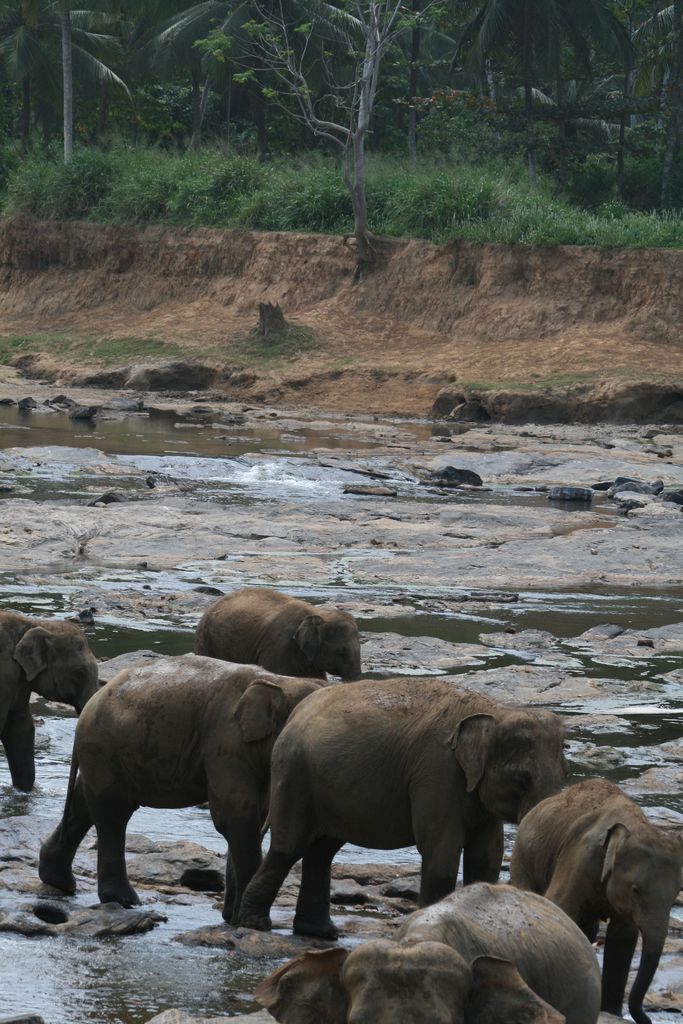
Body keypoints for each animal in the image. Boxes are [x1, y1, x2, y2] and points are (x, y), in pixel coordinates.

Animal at [38, 654, 322, 917]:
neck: (281, 681)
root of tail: (89, 705)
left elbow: (251, 815)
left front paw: (231, 917)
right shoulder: (225, 742)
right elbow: (234, 815)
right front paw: (238, 917)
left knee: (85, 803)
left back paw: (59, 881)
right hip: (102, 746)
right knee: (113, 813)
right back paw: (124, 900)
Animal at [236, 677, 568, 938]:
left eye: (566, 775)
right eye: (522, 779)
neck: (496, 711)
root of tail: (294, 714)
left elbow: (486, 857)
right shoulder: (437, 770)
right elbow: (441, 851)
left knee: (322, 850)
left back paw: (320, 932)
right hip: (295, 776)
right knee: (289, 846)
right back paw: (255, 924)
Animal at [510, 778, 683, 1024]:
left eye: (676, 893)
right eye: (636, 890)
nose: (648, 1019)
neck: (633, 824)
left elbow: (623, 938)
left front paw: (612, 1013)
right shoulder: (578, 859)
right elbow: (559, 908)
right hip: (524, 857)